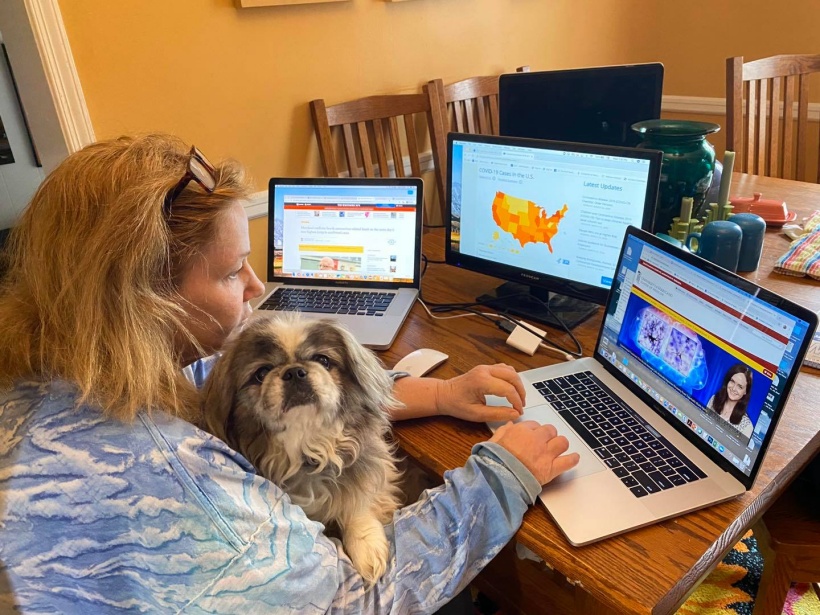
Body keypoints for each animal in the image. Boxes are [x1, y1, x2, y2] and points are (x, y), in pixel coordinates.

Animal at [200, 316, 402, 584]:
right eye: (261, 373)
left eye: (322, 360)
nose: (294, 371)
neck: (307, 448)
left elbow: (359, 500)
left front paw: (367, 548)